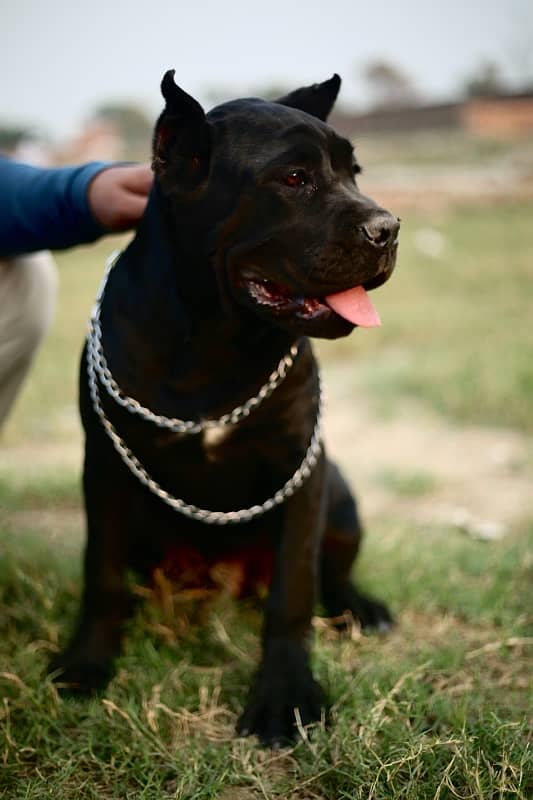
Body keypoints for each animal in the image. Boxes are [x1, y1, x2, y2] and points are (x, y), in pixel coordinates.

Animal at [50, 69, 400, 744]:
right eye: (294, 179)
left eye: (354, 172)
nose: (389, 228)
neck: (215, 336)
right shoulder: (104, 468)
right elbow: (100, 573)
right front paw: (87, 663)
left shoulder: (302, 469)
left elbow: (294, 592)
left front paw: (285, 696)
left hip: (340, 494)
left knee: (333, 574)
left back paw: (362, 609)